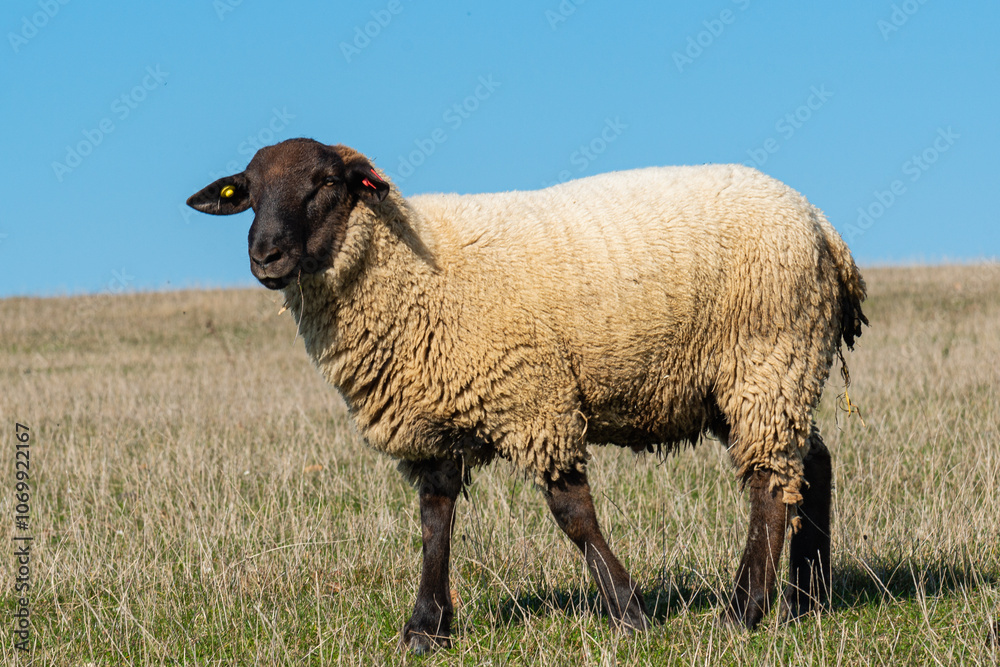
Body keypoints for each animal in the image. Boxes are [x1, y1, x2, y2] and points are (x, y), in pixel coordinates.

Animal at [187, 137, 867, 653]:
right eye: (248, 191)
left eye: (326, 182)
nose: (265, 255)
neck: (414, 269)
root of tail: (821, 225)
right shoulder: (436, 423)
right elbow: (435, 518)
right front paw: (425, 628)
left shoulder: (535, 400)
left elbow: (573, 513)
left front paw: (627, 613)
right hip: (759, 377)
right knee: (810, 462)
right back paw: (807, 598)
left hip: (765, 358)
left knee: (769, 484)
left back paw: (742, 611)